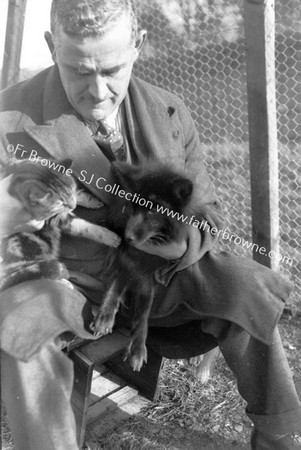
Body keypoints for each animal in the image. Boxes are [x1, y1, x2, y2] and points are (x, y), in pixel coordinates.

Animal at [0, 158, 119, 292]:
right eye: (60, 203)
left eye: (71, 190)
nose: (73, 206)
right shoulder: (55, 218)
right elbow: (84, 227)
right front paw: (110, 237)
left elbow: (78, 196)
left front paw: (90, 201)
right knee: (25, 274)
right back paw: (64, 281)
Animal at [91, 160, 193, 370]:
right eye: (132, 205)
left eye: (153, 210)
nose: (126, 237)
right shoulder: (124, 260)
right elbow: (115, 286)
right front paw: (105, 317)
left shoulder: (147, 277)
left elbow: (143, 314)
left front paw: (137, 349)